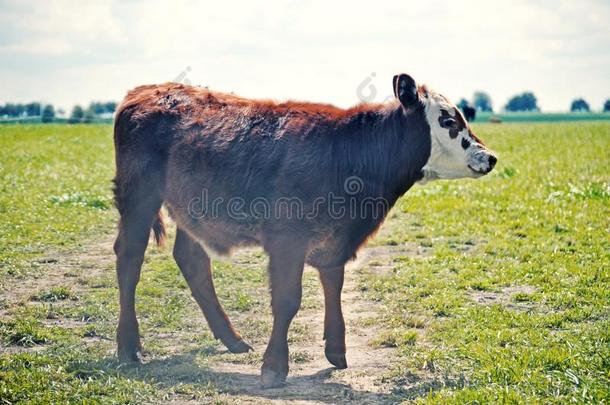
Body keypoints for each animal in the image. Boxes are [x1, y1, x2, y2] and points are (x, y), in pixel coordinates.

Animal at [111, 73, 496, 388]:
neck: (348, 153)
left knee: (192, 261)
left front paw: (336, 350)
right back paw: (129, 347)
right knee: (129, 259)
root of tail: (142, 91)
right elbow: (287, 300)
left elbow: (333, 287)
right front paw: (274, 367)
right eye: (447, 120)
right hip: (139, 197)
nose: (490, 157)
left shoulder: (336, 240)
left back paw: (232, 339)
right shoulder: (287, 242)